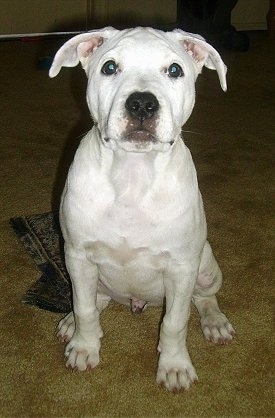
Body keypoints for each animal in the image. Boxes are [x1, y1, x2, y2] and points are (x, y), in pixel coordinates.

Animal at [49, 27, 235, 392]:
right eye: (109, 67)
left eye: (175, 70)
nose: (142, 103)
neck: (132, 173)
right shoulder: (77, 254)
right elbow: (84, 307)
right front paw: (84, 347)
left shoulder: (181, 267)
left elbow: (175, 321)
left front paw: (174, 367)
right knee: (95, 299)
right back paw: (70, 323)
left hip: (205, 265)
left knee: (204, 297)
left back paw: (215, 322)